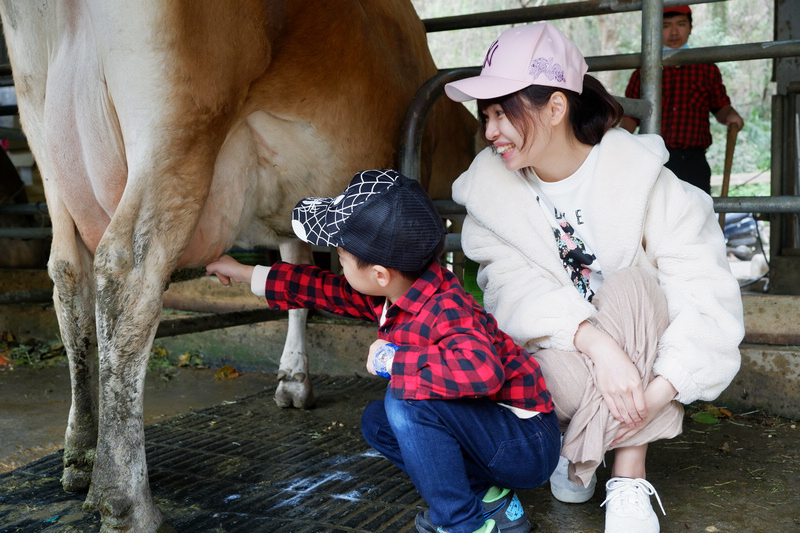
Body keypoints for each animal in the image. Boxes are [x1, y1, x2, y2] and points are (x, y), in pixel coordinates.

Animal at [0, 2, 478, 528]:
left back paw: (81, 456)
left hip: (44, 133)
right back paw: (124, 498)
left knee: (70, 281)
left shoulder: (291, 215)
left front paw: (293, 378)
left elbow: (296, 281)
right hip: (178, 129)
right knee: (128, 276)